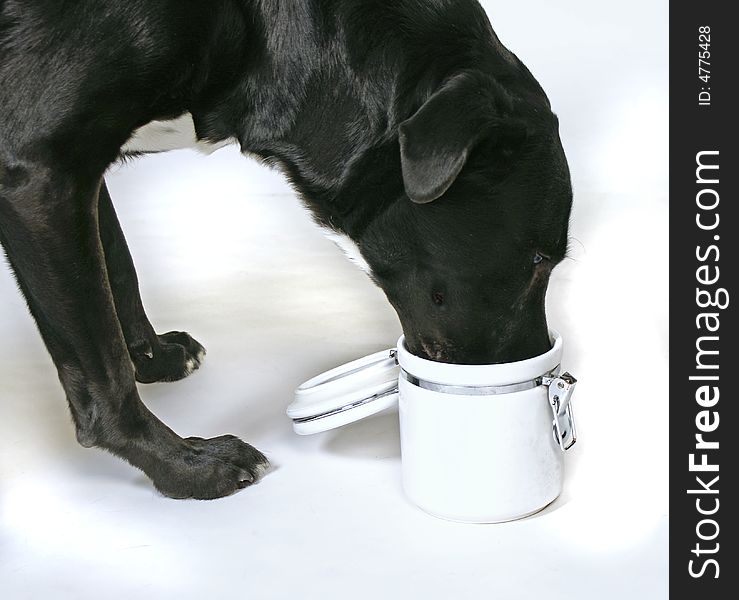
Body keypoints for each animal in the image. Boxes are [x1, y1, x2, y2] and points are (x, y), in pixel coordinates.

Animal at [0, 1, 576, 496]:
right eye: (538, 262)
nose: (538, 369)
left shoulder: (77, 170)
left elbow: (118, 265)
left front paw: (151, 355)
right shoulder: (39, 173)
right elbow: (105, 370)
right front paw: (186, 467)